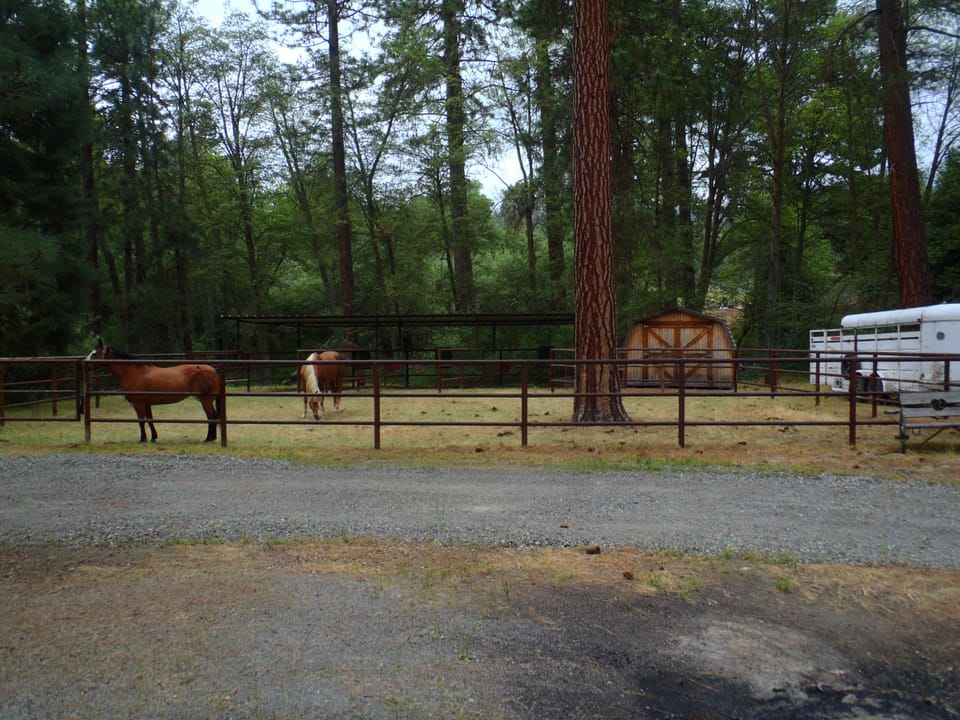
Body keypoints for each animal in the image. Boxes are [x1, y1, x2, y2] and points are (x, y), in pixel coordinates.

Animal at [90, 339, 222, 443]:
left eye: (94, 353)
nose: (86, 362)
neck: (134, 373)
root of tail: (213, 371)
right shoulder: (147, 404)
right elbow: (150, 420)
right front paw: (153, 438)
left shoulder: (138, 404)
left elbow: (141, 421)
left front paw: (142, 439)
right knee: (211, 417)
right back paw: (210, 438)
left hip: (206, 400)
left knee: (212, 416)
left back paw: (209, 439)